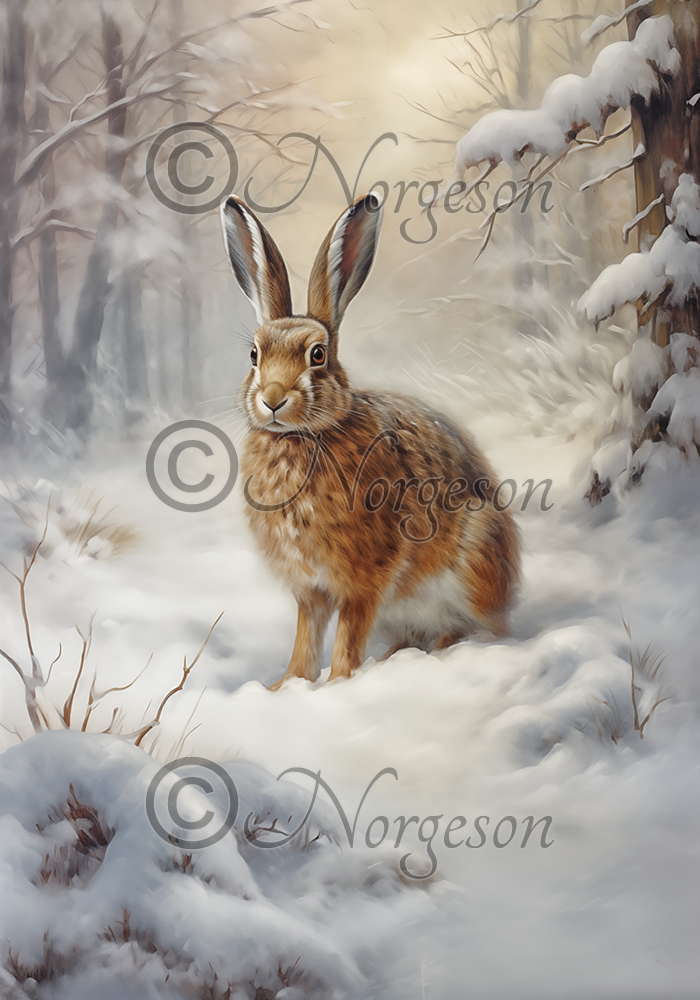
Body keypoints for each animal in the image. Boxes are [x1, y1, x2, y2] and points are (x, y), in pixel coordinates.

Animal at [221, 192, 520, 690]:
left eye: (317, 355)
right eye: (254, 354)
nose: (272, 399)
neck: (305, 437)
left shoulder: (364, 579)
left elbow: (347, 635)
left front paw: (339, 682)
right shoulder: (310, 590)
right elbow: (306, 638)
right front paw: (288, 686)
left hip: (471, 562)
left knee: (473, 630)